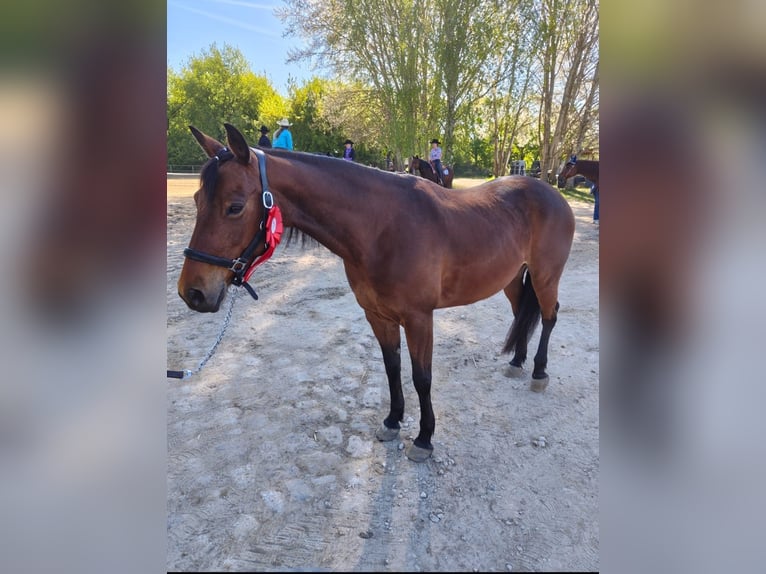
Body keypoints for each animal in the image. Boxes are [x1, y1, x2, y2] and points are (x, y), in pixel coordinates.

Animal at [177, 123, 576, 463]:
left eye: (235, 207)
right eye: (197, 201)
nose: (192, 292)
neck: (382, 227)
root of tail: (552, 192)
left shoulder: (419, 319)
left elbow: (422, 378)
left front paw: (424, 438)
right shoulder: (377, 315)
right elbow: (391, 367)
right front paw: (393, 421)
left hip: (545, 276)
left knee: (550, 314)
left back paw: (539, 372)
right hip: (511, 279)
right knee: (523, 313)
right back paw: (517, 362)